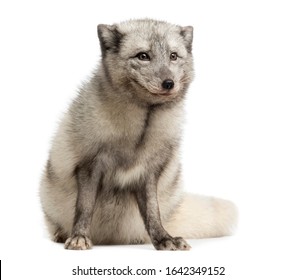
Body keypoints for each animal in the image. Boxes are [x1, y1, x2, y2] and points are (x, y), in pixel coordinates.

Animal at [39, 18, 238, 250]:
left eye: (173, 56)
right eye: (143, 56)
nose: (168, 83)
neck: (140, 132)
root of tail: (109, 239)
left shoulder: (149, 173)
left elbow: (153, 212)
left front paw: (163, 239)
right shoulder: (88, 166)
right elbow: (84, 206)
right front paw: (79, 236)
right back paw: (62, 234)